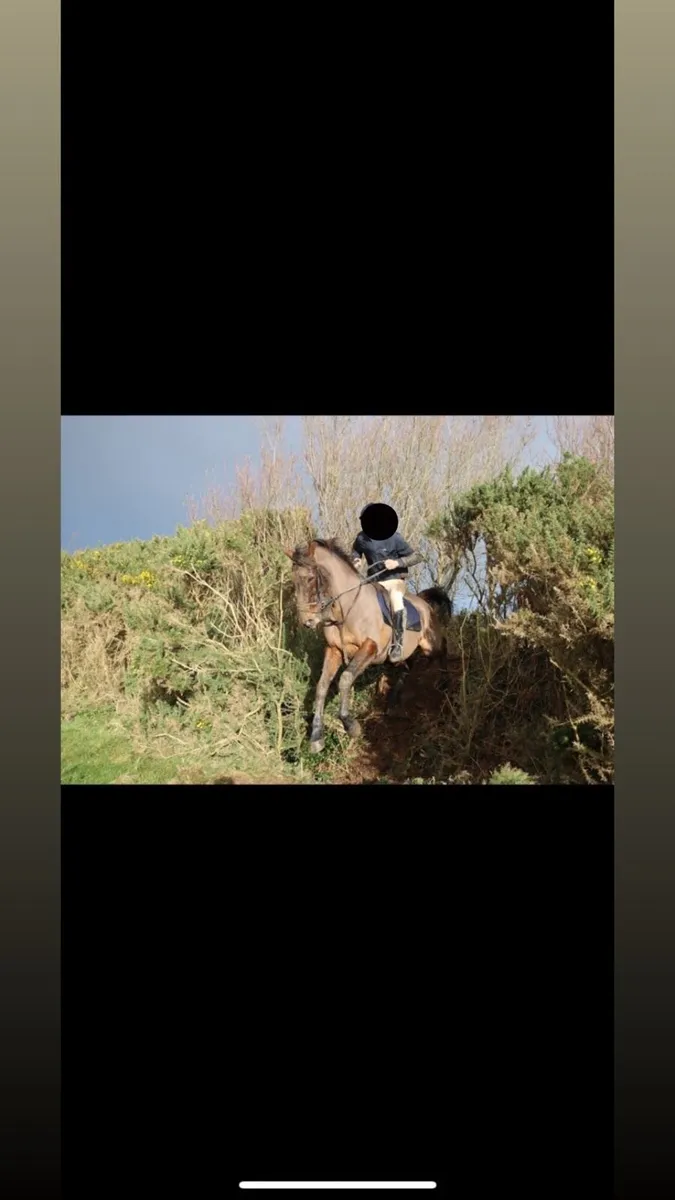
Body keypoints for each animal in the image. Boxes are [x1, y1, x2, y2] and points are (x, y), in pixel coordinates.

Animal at [285, 538, 452, 754]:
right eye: (294, 582)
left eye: (311, 578)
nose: (308, 622)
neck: (346, 609)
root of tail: (423, 602)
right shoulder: (334, 650)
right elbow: (322, 686)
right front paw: (316, 738)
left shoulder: (369, 647)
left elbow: (345, 679)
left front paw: (351, 725)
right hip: (402, 655)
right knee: (407, 667)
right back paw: (392, 703)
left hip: (430, 644)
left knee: (443, 648)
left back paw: (445, 683)